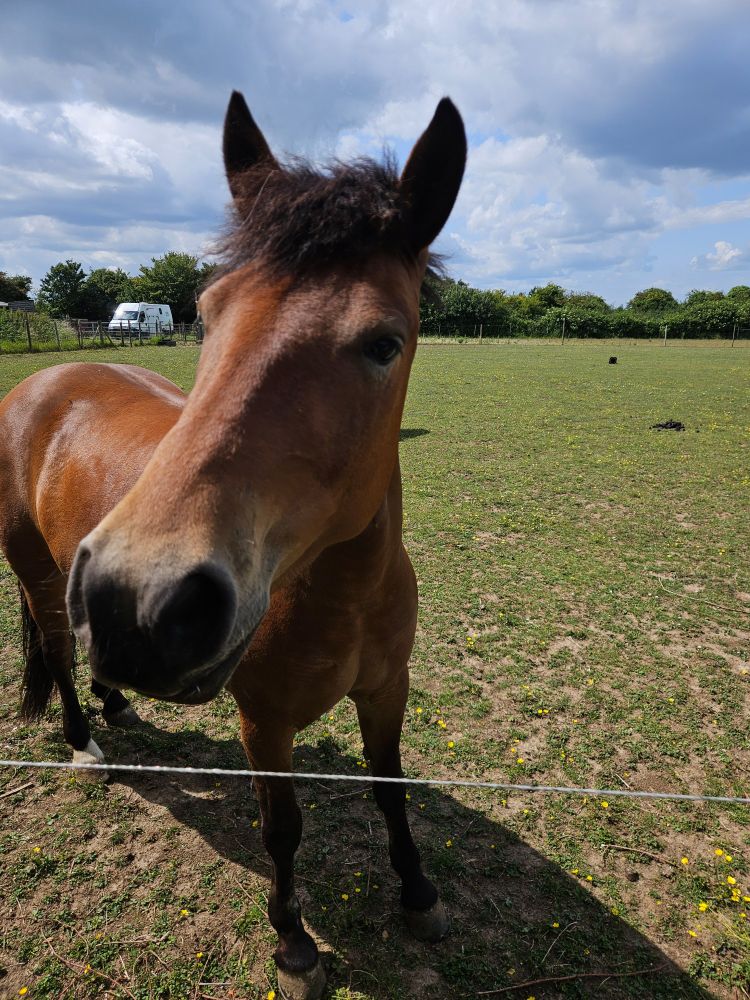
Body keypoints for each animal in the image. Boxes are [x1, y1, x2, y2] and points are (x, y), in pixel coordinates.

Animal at [0, 91, 466, 1000]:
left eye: (384, 342)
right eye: (208, 317)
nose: (140, 600)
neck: (341, 591)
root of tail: (45, 378)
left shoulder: (387, 688)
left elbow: (391, 789)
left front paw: (420, 894)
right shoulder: (264, 721)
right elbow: (281, 829)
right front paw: (293, 942)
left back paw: (116, 701)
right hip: (38, 572)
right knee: (56, 647)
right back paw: (85, 743)